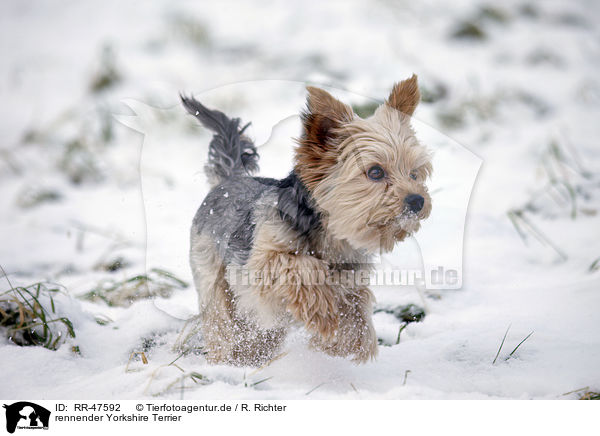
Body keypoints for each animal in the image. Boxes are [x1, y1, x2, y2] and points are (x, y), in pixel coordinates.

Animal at [180, 75, 428, 364]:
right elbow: (301, 267)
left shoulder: (353, 275)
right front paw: (324, 313)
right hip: (213, 278)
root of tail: (231, 178)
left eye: (414, 173)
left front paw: (348, 340)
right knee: (221, 321)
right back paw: (225, 360)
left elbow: (355, 306)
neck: (331, 235)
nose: (417, 200)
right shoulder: (262, 263)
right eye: (375, 172)